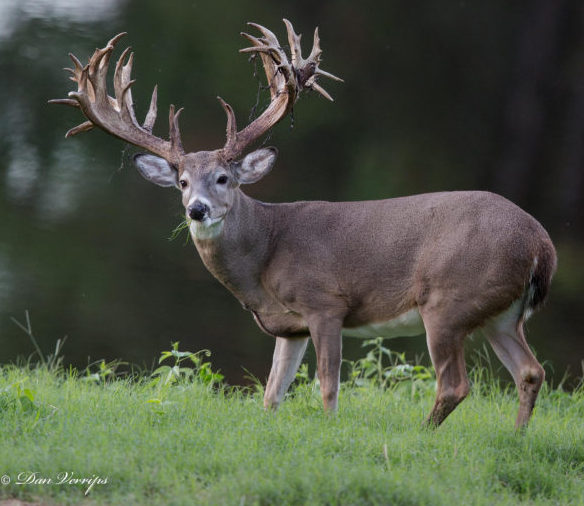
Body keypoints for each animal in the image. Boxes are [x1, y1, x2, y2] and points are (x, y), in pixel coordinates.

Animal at [50, 21, 556, 428]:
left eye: (223, 178)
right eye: (181, 181)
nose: (197, 209)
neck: (265, 253)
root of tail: (540, 244)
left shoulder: (324, 302)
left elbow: (327, 385)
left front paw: (330, 430)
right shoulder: (287, 326)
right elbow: (272, 393)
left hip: (447, 300)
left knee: (455, 384)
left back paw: (423, 435)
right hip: (499, 314)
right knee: (531, 371)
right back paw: (516, 437)